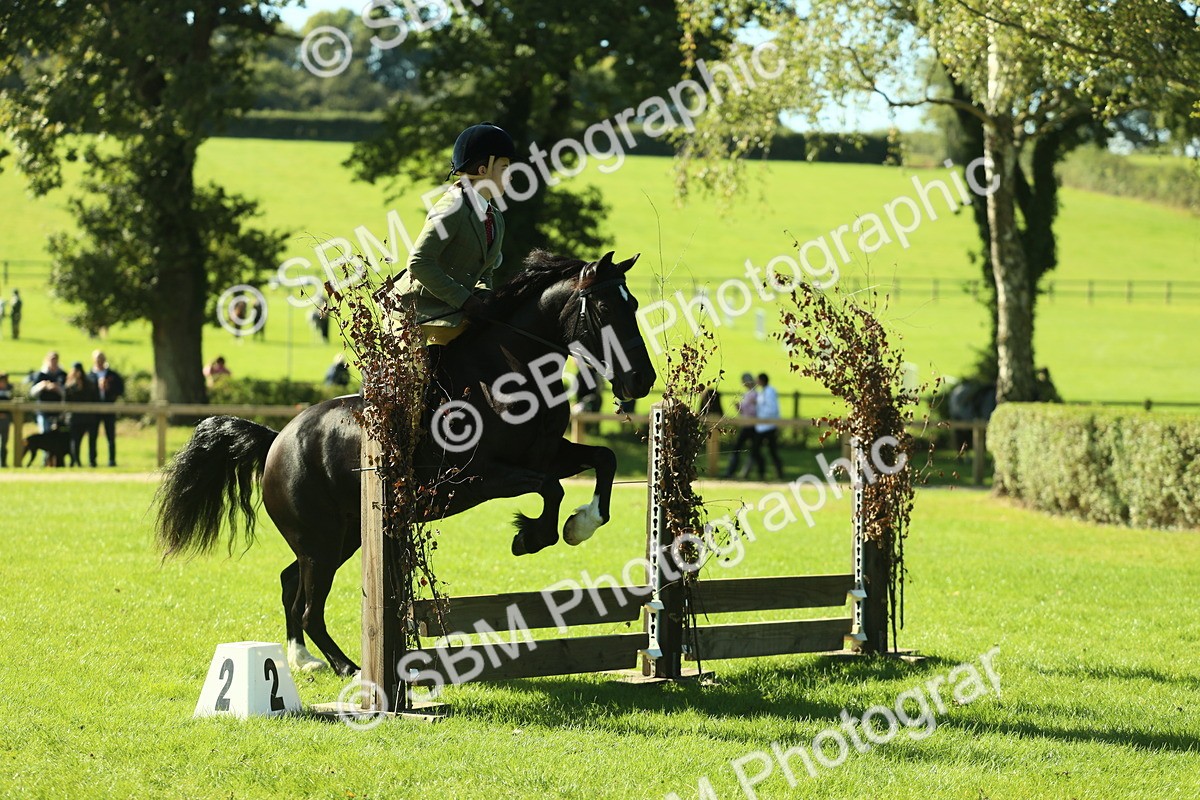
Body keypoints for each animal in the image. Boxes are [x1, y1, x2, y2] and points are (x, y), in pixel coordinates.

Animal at [153, 250, 656, 677]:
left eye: (633, 306)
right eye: (606, 310)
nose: (642, 380)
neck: (513, 373)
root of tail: (278, 440)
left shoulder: (548, 453)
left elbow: (604, 460)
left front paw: (582, 524)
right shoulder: (481, 478)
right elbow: (551, 488)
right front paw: (530, 537)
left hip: (343, 537)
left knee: (290, 583)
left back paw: (303, 660)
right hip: (321, 541)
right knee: (309, 606)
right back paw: (348, 668)